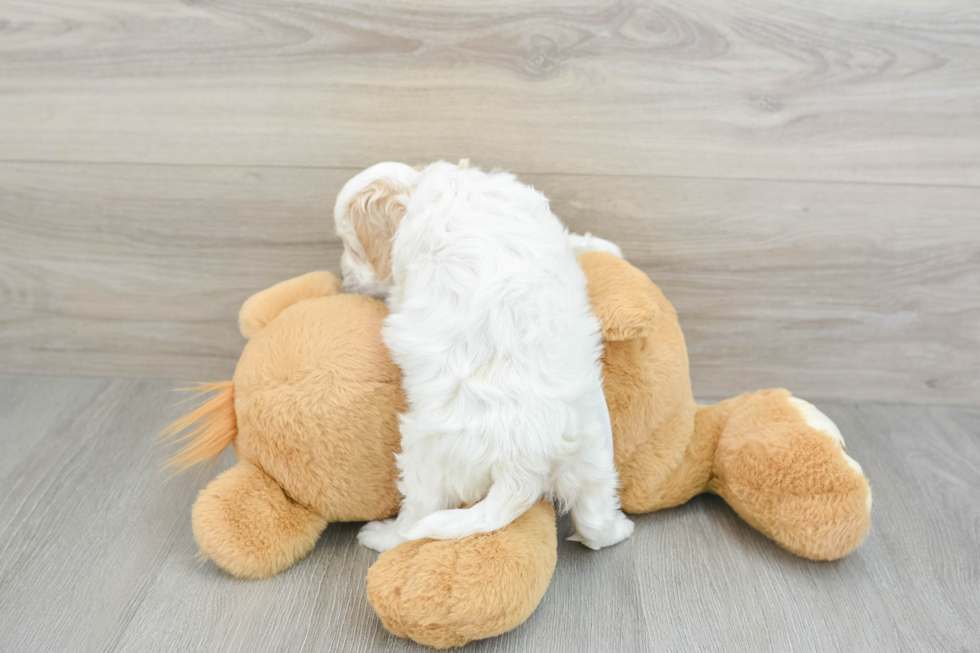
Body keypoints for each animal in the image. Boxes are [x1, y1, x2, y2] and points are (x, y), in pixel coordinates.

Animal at [334, 159, 632, 552]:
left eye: (351, 248)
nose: (343, 280)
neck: (447, 187)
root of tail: (524, 464)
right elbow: (574, 239)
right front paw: (606, 247)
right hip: (593, 455)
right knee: (596, 523)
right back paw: (619, 529)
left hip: (426, 463)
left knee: (415, 518)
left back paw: (380, 535)